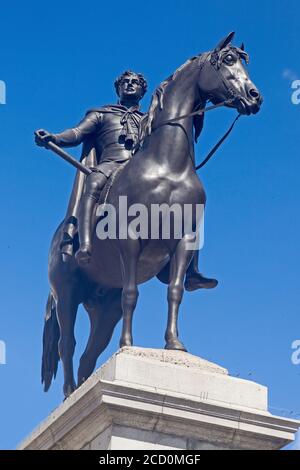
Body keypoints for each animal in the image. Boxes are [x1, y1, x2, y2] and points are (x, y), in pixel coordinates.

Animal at [40, 31, 262, 396]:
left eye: (243, 61)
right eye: (228, 60)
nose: (255, 97)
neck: (167, 165)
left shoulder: (184, 239)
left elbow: (175, 292)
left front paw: (174, 344)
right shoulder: (131, 237)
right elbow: (133, 293)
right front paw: (128, 345)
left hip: (104, 306)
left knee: (89, 354)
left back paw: (83, 386)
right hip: (66, 291)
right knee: (67, 345)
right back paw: (71, 391)